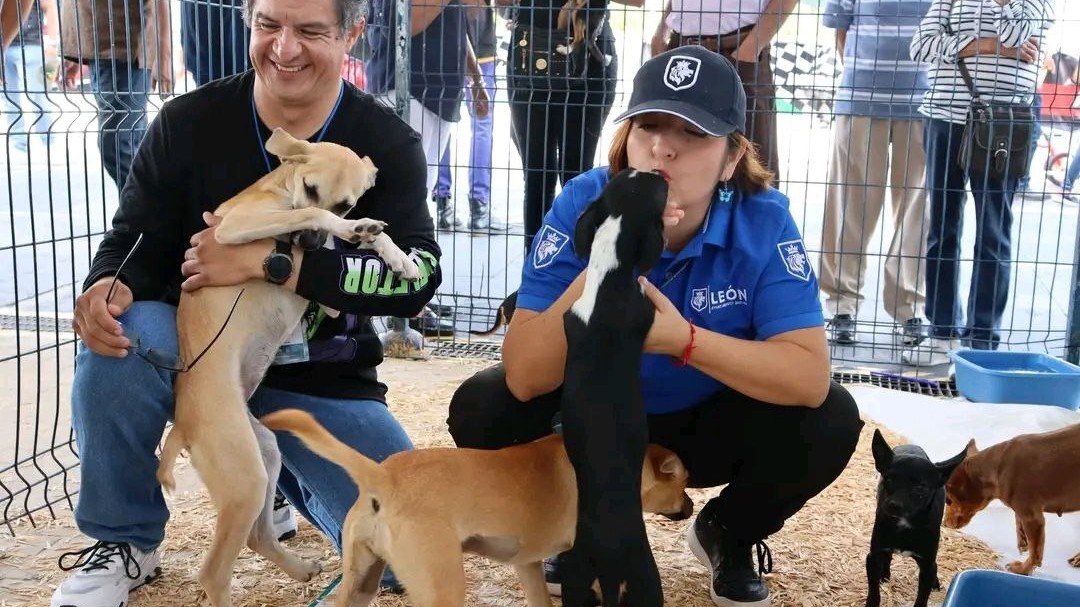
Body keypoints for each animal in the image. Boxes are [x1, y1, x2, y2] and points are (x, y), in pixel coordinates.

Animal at [864, 425, 967, 604]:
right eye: (888, 479)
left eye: (921, 488)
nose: (892, 505)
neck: (905, 525)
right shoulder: (873, 557)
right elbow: (874, 592)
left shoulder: (926, 566)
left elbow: (922, 598)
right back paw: (885, 574)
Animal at [941, 421, 1080, 570]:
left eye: (948, 500)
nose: (944, 523)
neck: (997, 469)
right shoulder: (1023, 513)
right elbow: (1018, 519)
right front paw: (1022, 540)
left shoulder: (1033, 518)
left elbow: (1035, 553)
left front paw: (1022, 569)